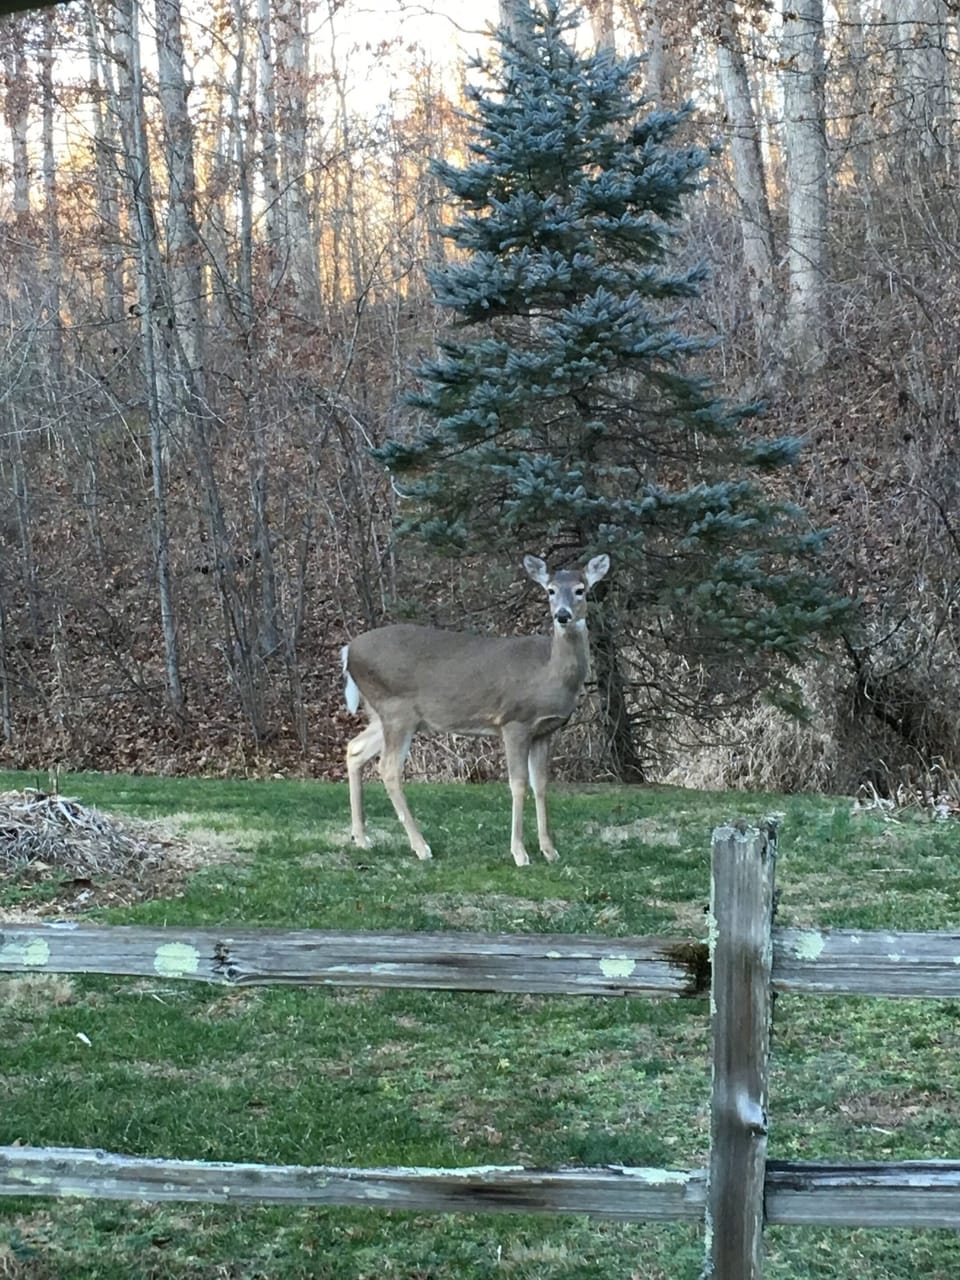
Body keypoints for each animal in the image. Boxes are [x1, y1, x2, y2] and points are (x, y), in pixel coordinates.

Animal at [341, 553, 610, 865]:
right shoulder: (514, 721)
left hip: (383, 714)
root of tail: (348, 651)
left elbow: (541, 785)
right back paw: (421, 846)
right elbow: (518, 784)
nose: (563, 615)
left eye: (580, 590)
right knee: (388, 769)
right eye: (550, 590)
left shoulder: (545, 730)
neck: (548, 672)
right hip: (396, 710)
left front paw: (550, 850)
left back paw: (362, 838)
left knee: (355, 748)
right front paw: (520, 852)